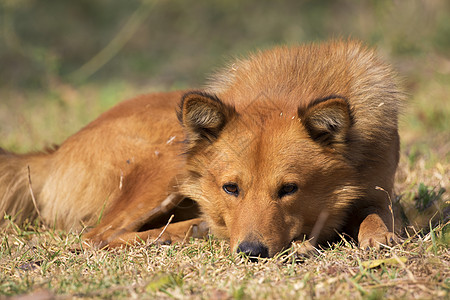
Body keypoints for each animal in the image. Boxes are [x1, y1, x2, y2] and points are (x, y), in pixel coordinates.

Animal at [0, 39, 402, 256]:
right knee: (97, 237)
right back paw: (185, 232)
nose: (251, 253)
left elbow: (376, 214)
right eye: (231, 188)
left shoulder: (377, 191)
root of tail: (53, 152)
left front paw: (377, 235)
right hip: (167, 162)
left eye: (289, 189)